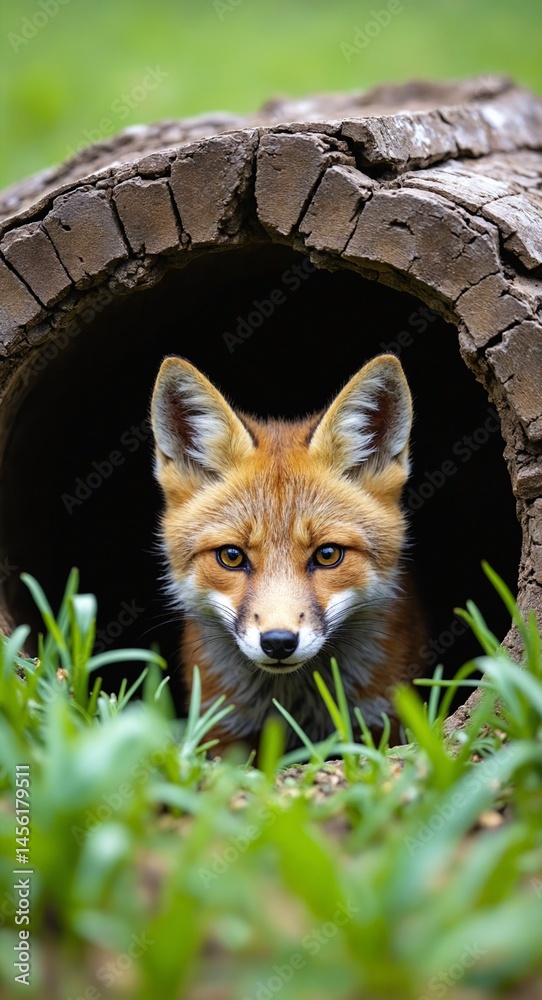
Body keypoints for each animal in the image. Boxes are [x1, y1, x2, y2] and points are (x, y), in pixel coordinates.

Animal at [150, 353, 426, 754]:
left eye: (327, 554)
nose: (278, 642)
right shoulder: (222, 727)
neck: (294, 703)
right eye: (231, 556)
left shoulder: (382, 717)